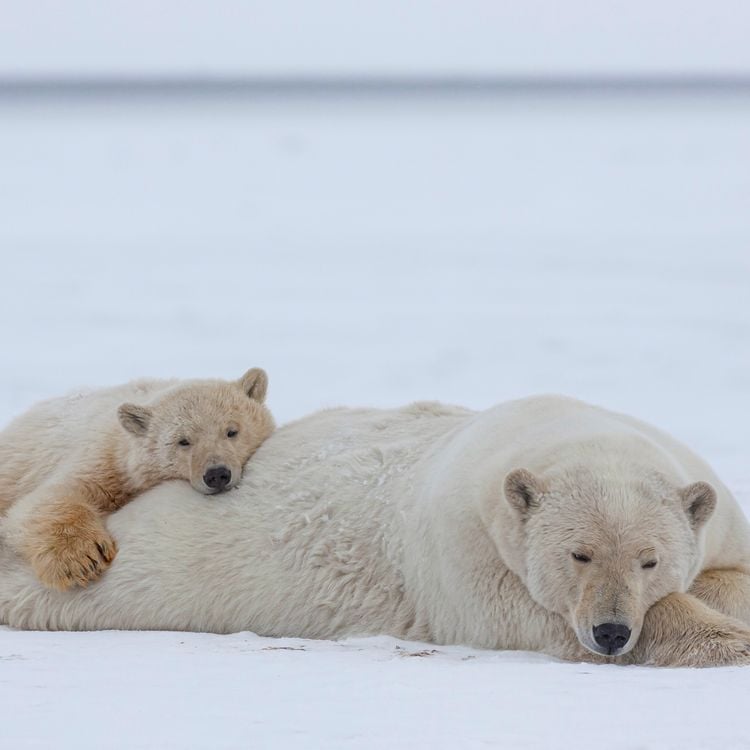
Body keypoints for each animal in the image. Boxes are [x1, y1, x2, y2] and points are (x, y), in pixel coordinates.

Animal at [0, 368, 274, 591]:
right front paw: (83, 559)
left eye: (232, 431)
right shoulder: (107, 460)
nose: (216, 474)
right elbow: (48, 497)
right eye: (183, 441)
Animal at [0, 395, 749, 667]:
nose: (612, 631)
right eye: (579, 554)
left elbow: (729, 571)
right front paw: (726, 641)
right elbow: (532, 617)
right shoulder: (465, 553)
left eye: (650, 560)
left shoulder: (715, 515)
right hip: (154, 555)